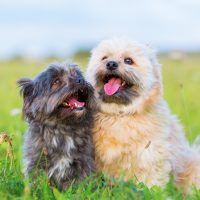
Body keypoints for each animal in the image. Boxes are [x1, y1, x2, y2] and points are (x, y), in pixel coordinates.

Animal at [17, 62, 95, 191]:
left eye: (77, 74)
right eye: (56, 81)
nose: (80, 80)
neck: (63, 128)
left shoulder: (83, 161)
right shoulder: (37, 162)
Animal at [86, 38, 200, 190]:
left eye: (128, 60)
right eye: (104, 58)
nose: (111, 64)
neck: (120, 114)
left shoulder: (150, 157)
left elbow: (150, 184)